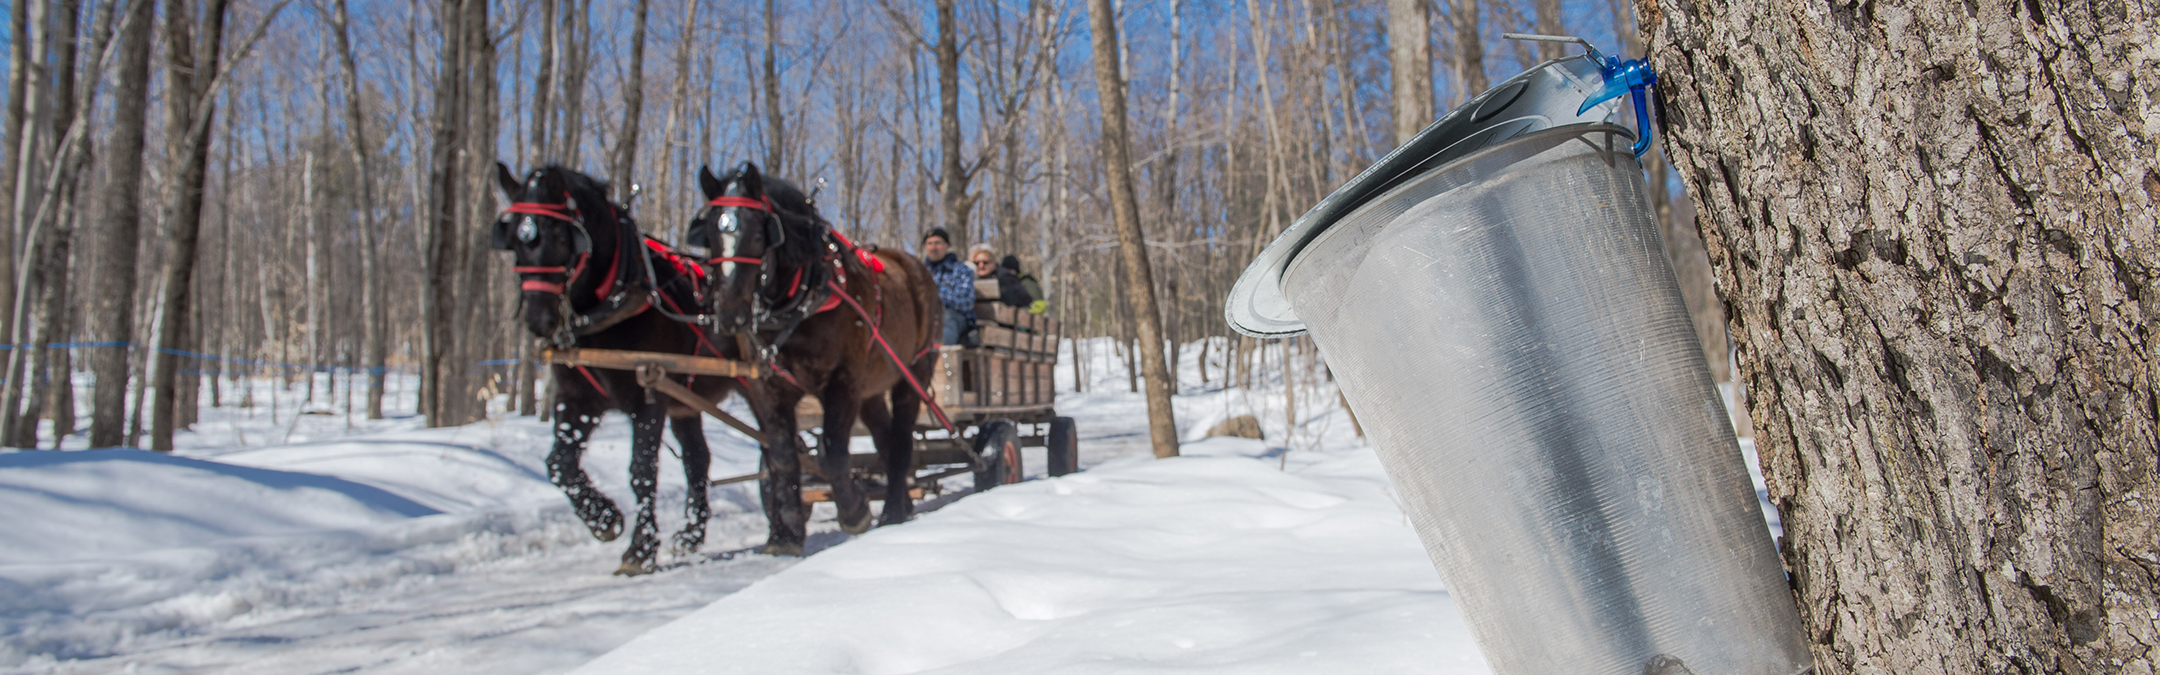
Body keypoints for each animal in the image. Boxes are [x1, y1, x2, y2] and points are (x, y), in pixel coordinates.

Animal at [492, 163, 743, 575]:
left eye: (560, 236)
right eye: (513, 239)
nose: (539, 319)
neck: (615, 298)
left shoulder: (649, 397)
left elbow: (641, 472)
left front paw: (640, 549)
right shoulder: (578, 399)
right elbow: (558, 464)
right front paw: (604, 519)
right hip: (686, 402)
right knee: (697, 459)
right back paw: (691, 535)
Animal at [682, 163, 937, 553]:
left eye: (757, 236)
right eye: (709, 235)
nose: (729, 314)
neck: (802, 297)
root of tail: (914, 264)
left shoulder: (843, 381)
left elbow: (832, 454)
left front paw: (855, 511)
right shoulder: (767, 386)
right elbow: (784, 456)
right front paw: (785, 535)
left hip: (914, 373)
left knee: (901, 439)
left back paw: (892, 509)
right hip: (871, 389)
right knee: (884, 439)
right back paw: (902, 505)